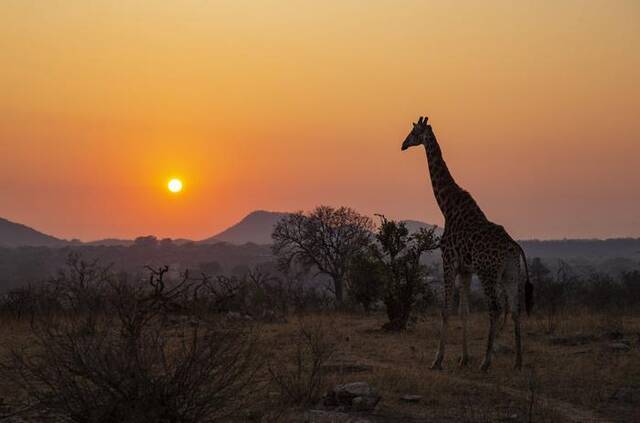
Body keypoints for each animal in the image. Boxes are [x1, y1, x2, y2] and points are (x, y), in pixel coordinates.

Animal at [400, 116, 536, 372]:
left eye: (413, 132)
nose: (403, 145)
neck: (447, 206)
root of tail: (514, 248)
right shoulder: (465, 269)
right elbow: (464, 311)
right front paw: (463, 358)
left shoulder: (448, 261)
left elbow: (445, 310)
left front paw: (438, 360)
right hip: (510, 274)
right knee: (515, 310)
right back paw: (518, 361)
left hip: (488, 272)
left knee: (495, 309)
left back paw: (486, 362)